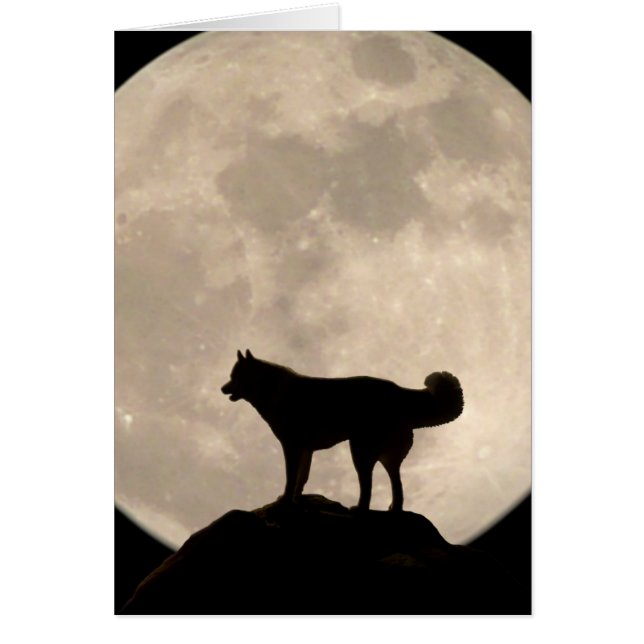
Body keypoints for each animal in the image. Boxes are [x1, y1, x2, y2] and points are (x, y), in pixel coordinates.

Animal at [221, 350, 464, 512]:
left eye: (234, 376)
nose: (222, 388)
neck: (270, 388)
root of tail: (398, 391)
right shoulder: (306, 450)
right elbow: (301, 479)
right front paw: (296, 499)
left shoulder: (292, 447)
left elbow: (291, 478)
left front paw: (286, 502)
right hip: (386, 458)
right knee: (397, 487)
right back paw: (393, 509)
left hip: (359, 452)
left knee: (368, 489)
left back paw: (359, 509)